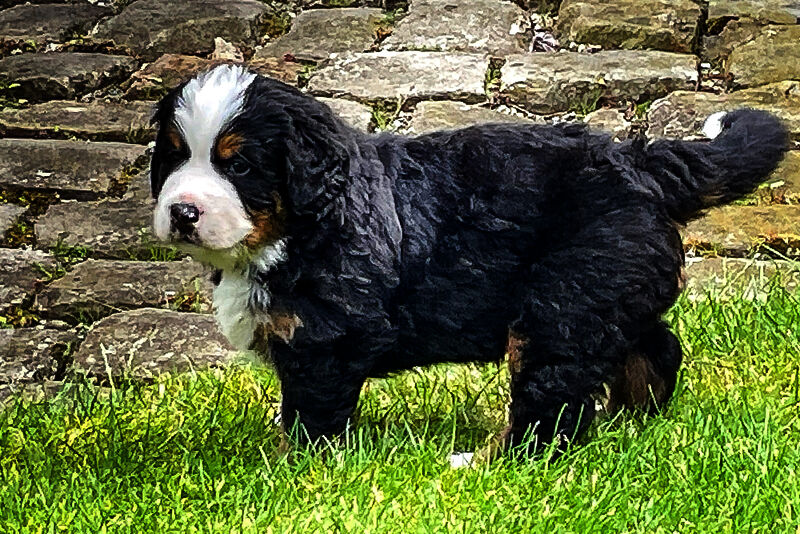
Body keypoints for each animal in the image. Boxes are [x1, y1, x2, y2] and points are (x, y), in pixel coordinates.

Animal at [150, 64, 789, 455]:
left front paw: (295, 470)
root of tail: (640, 163)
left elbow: (311, 419)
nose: (182, 212)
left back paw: (492, 458)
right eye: (175, 157)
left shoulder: (326, 339)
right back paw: (632, 420)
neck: (296, 231)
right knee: (653, 346)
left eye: (238, 165)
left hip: (559, 306)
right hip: (606, 289)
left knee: (552, 404)